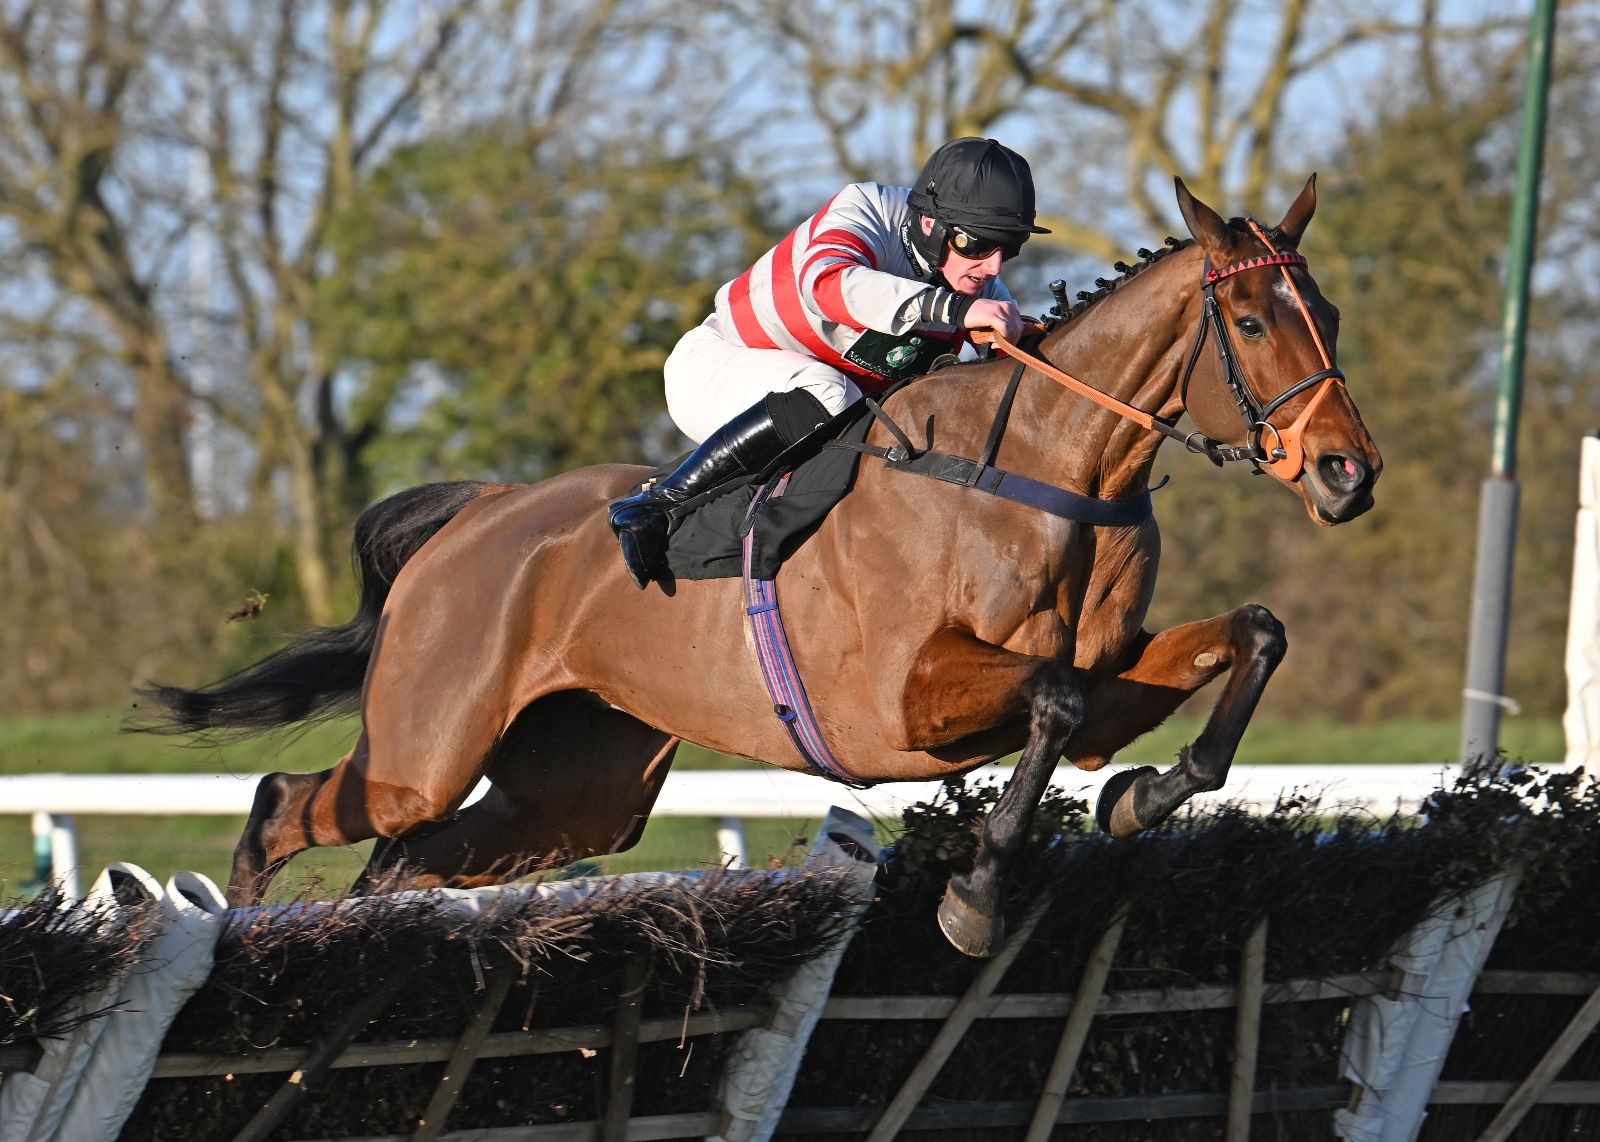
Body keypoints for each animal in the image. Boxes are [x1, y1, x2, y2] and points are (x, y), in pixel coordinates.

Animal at [144, 177, 1382, 953]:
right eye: (1252, 320)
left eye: (1324, 308)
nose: (1346, 472)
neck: (1043, 467)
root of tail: (480, 512)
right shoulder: (901, 699)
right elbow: (1054, 695)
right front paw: (976, 895)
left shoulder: (1109, 674)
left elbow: (1245, 637)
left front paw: (1141, 795)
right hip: (426, 744)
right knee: (287, 804)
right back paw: (232, 932)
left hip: (577, 791)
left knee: (401, 862)